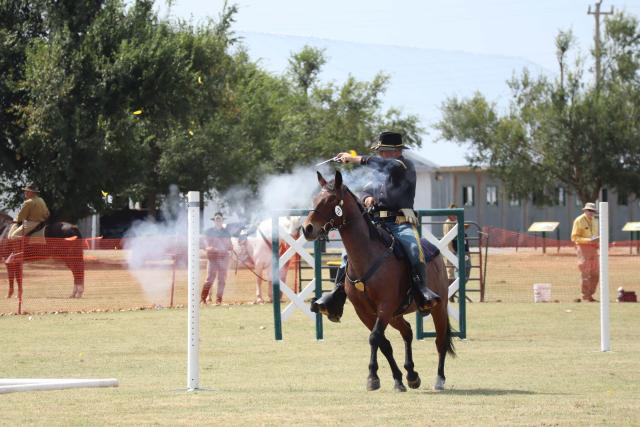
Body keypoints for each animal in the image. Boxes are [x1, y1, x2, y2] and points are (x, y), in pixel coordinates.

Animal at [302, 172, 456, 392]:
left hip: (438, 307)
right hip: (396, 315)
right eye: (315, 199)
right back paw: (411, 374)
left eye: (331, 200)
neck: (368, 257)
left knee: (440, 341)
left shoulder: (385, 306)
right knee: (407, 332)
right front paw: (397, 379)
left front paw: (373, 377)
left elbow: (375, 338)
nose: (307, 228)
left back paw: (439, 379)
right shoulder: (365, 312)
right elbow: (383, 343)